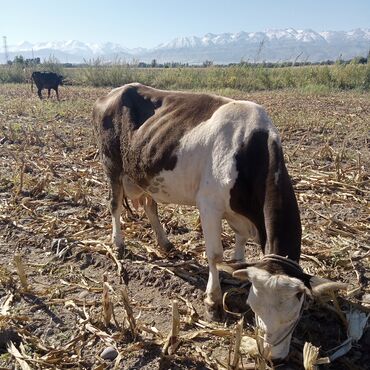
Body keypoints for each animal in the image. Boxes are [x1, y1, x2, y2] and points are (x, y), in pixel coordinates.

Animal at [93, 84, 346, 362]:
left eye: (295, 313)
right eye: (254, 307)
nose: (272, 358)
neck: (248, 150)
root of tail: (114, 92)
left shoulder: (241, 216)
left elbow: (239, 249)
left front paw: (239, 270)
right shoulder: (209, 204)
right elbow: (215, 255)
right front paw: (213, 302)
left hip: (146, 172)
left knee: (150, 205)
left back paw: (165, 243)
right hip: (111, 164)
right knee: (114, 205)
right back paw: (118, 244)